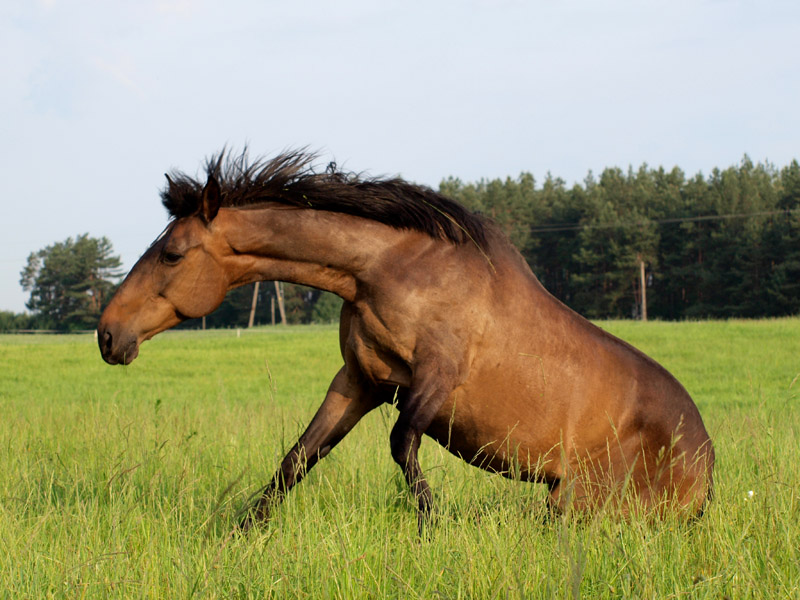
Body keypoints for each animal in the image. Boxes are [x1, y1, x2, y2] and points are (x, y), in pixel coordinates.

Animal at [97, 150, 716, 528]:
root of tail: (706, 463)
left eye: (171, 253)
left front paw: (432, 530)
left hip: (575, 505)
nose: (108, 335)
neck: (386, 269)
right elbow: (297, 459)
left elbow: (403, 447)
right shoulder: (360, 381)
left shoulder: (436, 377)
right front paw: (237, 534)